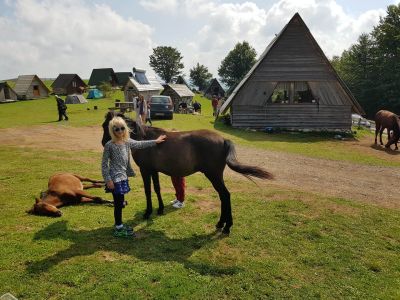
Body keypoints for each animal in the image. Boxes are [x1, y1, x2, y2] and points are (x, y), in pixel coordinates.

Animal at [101, 111, 274, 233]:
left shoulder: (146, 170)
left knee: (225, 195)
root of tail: (224, 140)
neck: (144, 139)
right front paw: (160, 209)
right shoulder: (154, 170)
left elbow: (148, 191)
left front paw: (148, 212)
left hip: (214, 175)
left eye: (107, 126)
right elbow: (157, 189)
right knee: (224, 196)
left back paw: (225, 226)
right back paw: (222, 224)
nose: (103, 143)